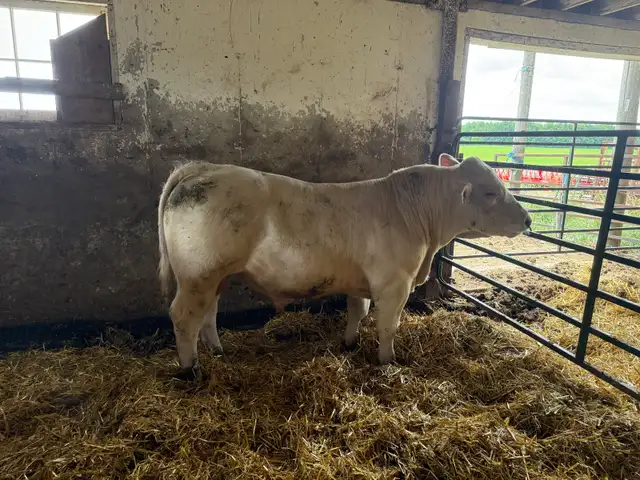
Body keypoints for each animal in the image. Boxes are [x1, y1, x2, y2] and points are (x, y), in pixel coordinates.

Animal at [157, 154, 531, 379]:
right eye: (491, 192)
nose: (528, 219)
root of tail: (202, 168)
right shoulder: (394, 284)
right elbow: (387, 325)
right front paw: (387, 361)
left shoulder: (360, 281)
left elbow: (357, 311)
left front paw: (349, 343)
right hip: (198, 276)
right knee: (184, 317)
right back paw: (190, 370)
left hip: (215, 276)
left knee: (208, 313)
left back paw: (217, 351)